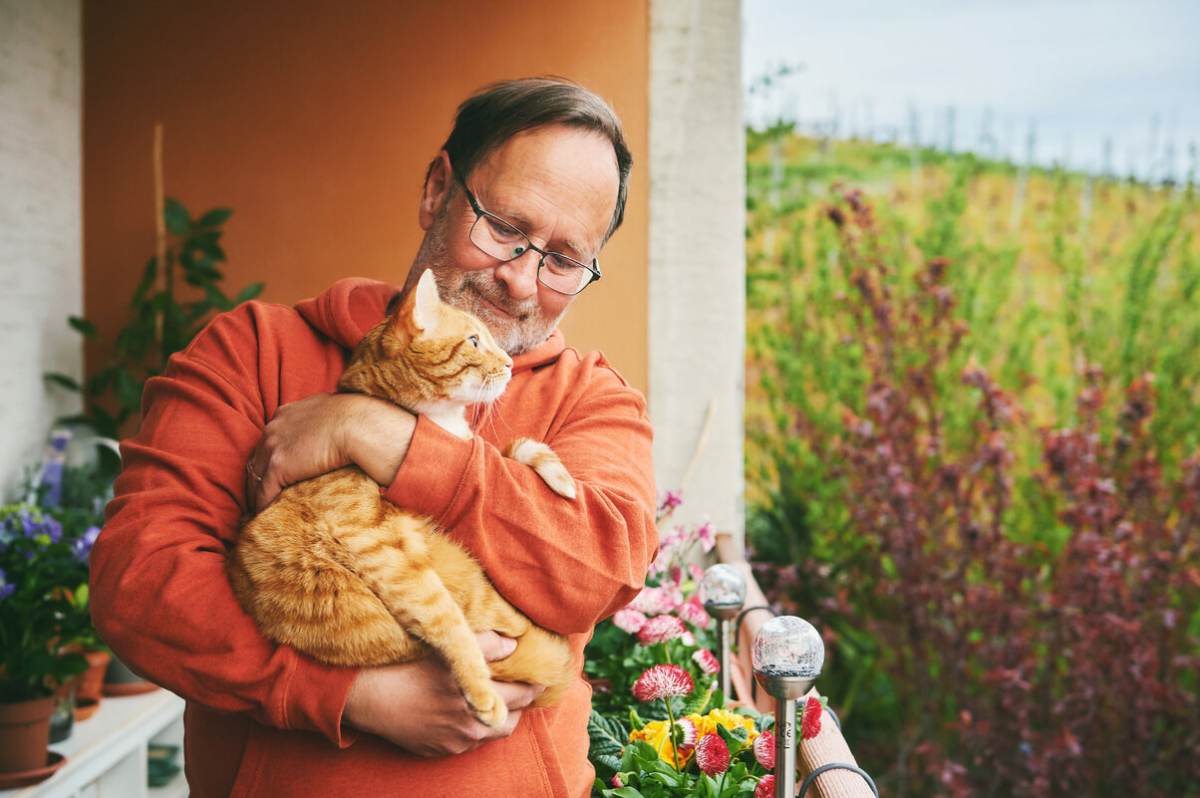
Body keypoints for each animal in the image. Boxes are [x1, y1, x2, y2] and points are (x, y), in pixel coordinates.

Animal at [231, 272, 578, 729]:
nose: (507, 363)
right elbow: (445, 618)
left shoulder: (478, 449)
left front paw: (561, 479)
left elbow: (514, 447)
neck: (441, 422)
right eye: (474, 341)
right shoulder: (380, 547)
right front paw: (482, 693)